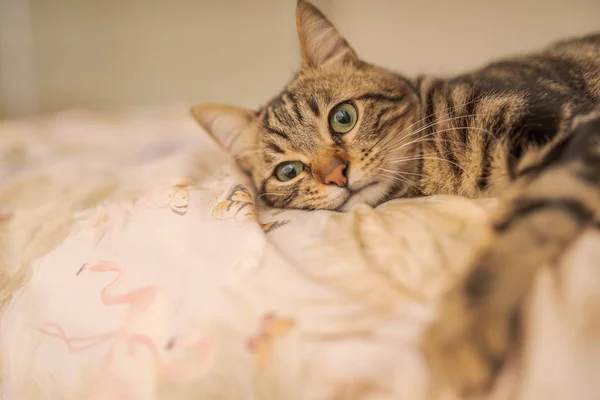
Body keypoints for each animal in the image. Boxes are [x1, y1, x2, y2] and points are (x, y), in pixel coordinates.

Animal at [191, 0, 600, 396]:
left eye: (343, 117)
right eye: (288, 171)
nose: (336, 174)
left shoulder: (573, 128)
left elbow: (518, 228)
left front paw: (462, 329)